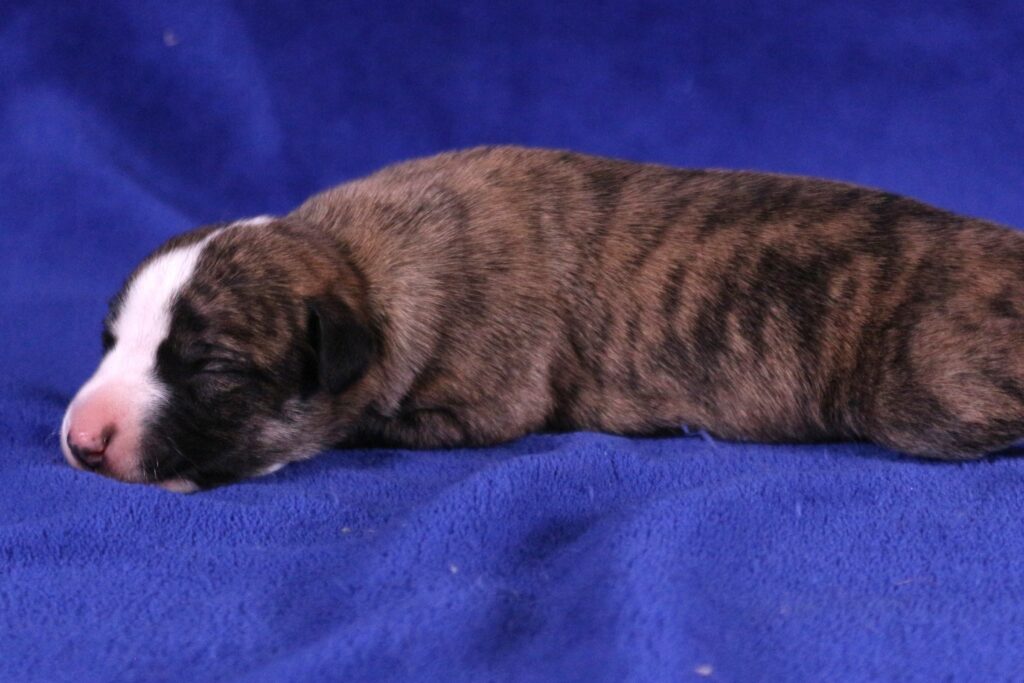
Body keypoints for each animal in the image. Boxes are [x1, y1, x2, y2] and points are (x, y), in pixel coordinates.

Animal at [60, 146, 1024, 491]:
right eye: (107, 343)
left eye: (210, 367)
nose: (80, 438)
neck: (357, 261)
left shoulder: (486, 404)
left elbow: (365, 425)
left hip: (926, 393)